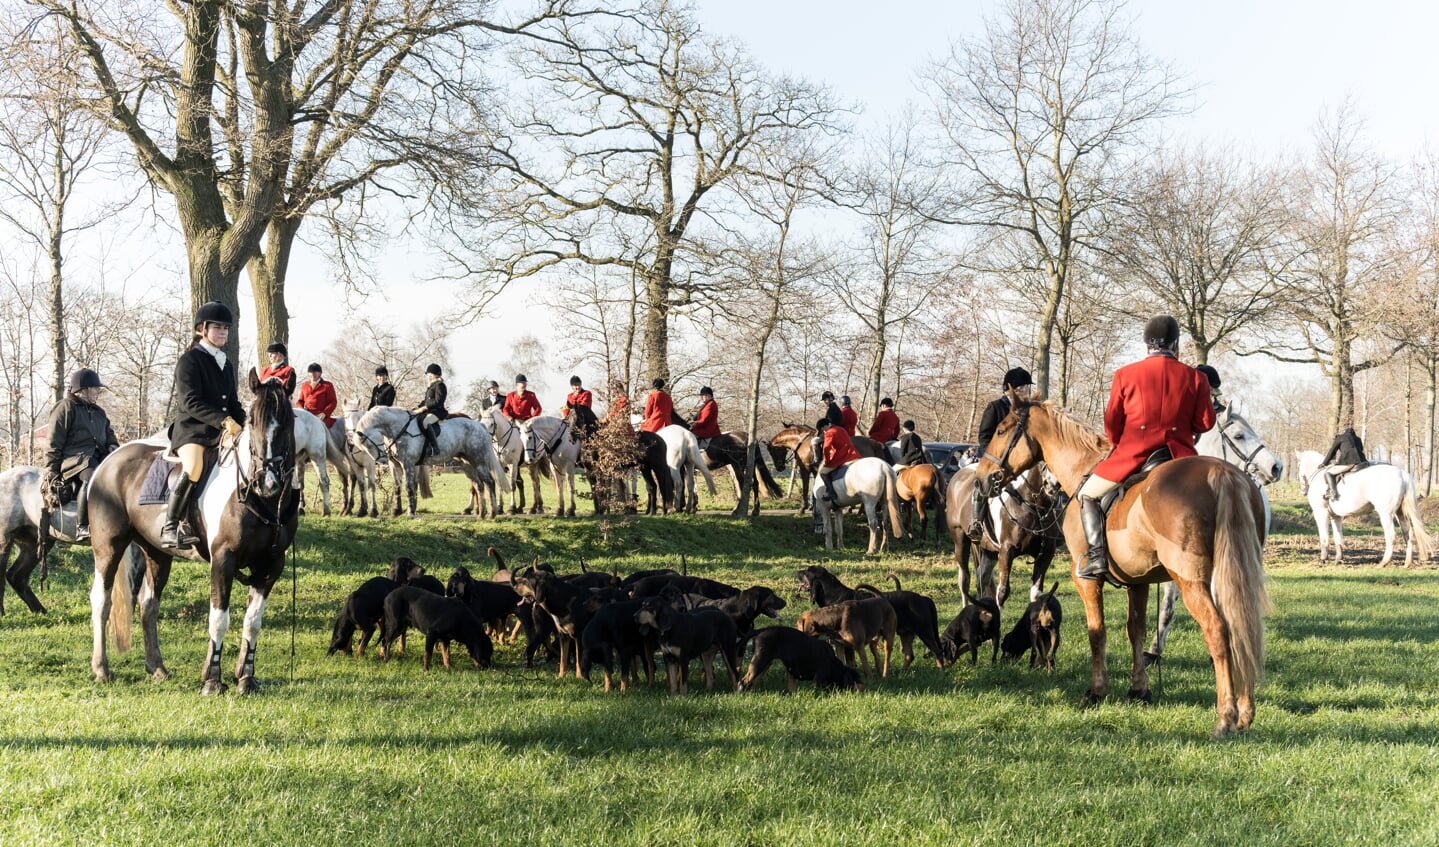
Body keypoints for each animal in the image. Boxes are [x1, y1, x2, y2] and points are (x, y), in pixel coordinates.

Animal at [86, 371, 297, 693]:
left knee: (148, 604)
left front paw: (246, 677)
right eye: (252, 421)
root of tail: (110, 460)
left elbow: (252, 621)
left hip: (157, 553)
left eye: (287, 421)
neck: (258, 500)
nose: (267, 481)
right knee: (102, 600)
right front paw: (212, 680)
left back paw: (157, 668)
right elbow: (219, 619)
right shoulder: (223, 560)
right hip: (108, 548)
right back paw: (101, 669)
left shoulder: (271, 565)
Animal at [353, 405, 512, 514]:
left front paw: (410, 513)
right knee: (478, 484)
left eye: (367, 444)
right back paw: (481, 514)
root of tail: (480, 425)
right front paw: (397, 511)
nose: (382, 460)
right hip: (468, 464)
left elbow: (409, 486)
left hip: (480, 461)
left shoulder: (408, 464)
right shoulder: (395, 464)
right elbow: (397, 486)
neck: (399, 428)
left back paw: (492, 513)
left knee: (490, 482)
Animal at [978, 399, 1272, 736]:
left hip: (1192, 581)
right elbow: (1137, 632)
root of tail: (1222, 473)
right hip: (1229, 578)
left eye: (1002, 430)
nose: (982, 478)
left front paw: (1096, 692)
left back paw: (1226, 717)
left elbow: (1097, 632)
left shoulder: (1085, 580)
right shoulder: (1139, 581)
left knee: (1219, 632)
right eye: (1239, 435)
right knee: (1241, 629)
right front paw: (1139, 690)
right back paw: (1245, 713)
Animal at [1295, 448, 1427, 569]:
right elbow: (1338, 537)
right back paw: (1407, 563)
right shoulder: (1336, 516)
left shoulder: (1320, 513)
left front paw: (1323, 559)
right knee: (1408, 535)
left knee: (1390, 535)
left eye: (1298, 464)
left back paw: (1383, 562)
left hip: (1386, 513)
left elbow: (1324, 537)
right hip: (1400, 513)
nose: (1302, 491)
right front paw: (1339, 559)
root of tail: (1402, 473)